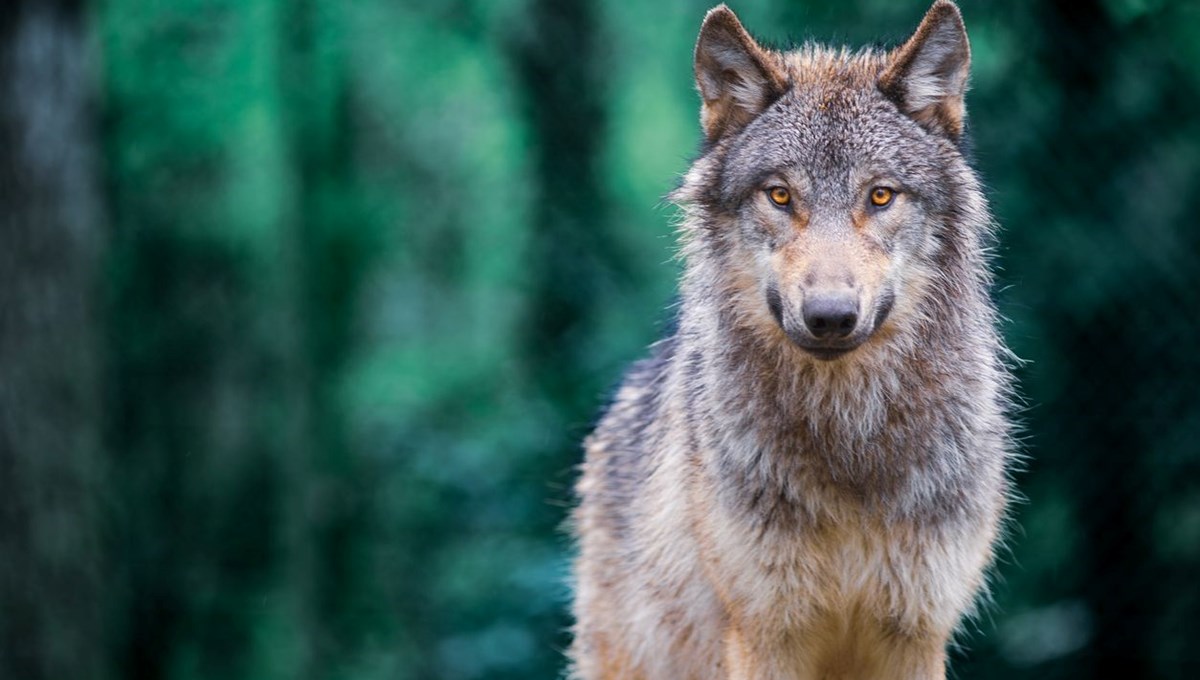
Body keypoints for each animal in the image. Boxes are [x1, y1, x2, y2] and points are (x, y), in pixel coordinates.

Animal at [568, 2, 1012, 676]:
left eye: (880, 195)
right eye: (780, 195)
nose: (830, 316)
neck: (848, 440)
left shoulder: (915, 633)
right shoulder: (766, 634)